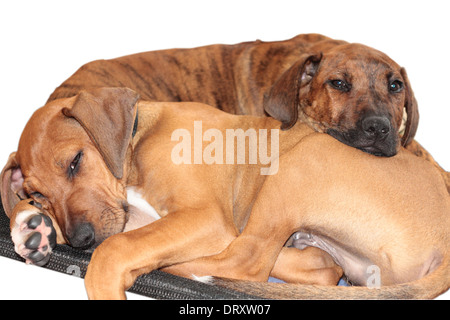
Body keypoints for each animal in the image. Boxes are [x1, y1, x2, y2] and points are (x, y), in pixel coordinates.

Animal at [1, 88, 448, 300]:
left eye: (76, 161)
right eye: (38, 194)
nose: (80, 241)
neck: (135, 142)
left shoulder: (205, 217)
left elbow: (117, 248)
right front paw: (32, 223)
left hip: (301, 161)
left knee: (245, 259)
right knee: (318, 265)